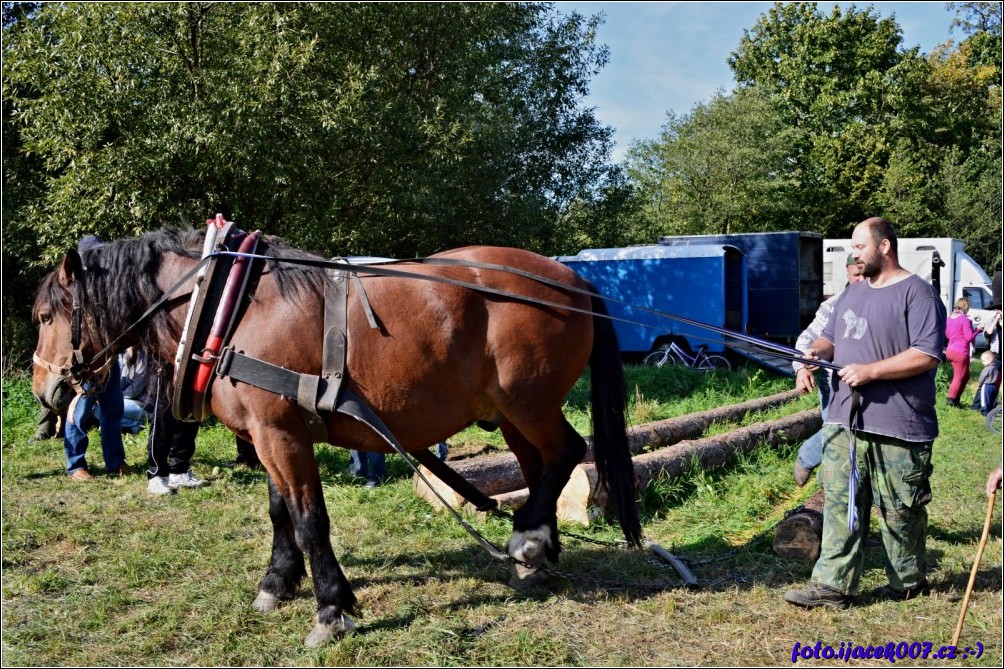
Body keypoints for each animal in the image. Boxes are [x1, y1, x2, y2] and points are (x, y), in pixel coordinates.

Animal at [35, 227, 642, 642]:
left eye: (44, 315)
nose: (44, 389)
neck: (231, 308)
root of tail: (574, 280)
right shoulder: (270, 431)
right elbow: (280, 514)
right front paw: (277, 584)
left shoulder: (280, 434)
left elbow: (309, 521)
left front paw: (332, 608)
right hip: (513, 414)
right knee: (541, 467)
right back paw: (536, 553)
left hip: (528, 403)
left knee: (568, 451)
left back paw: (528, 542)